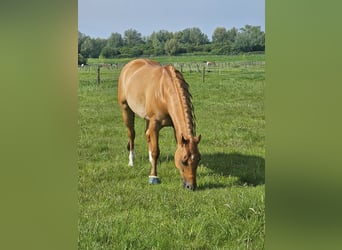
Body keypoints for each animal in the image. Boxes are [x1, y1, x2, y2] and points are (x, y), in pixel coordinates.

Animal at [119, 58, 202, 190]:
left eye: (198, 159)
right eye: (184, 161)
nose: (191, 186)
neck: (164, 92)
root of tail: (129, 65)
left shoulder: (174, 126)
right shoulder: (155, 124)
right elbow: (155, 151)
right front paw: (153, 177)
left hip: (147, 118)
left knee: (147, 135)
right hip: (126, 109)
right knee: (131, 134)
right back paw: (131, 161)